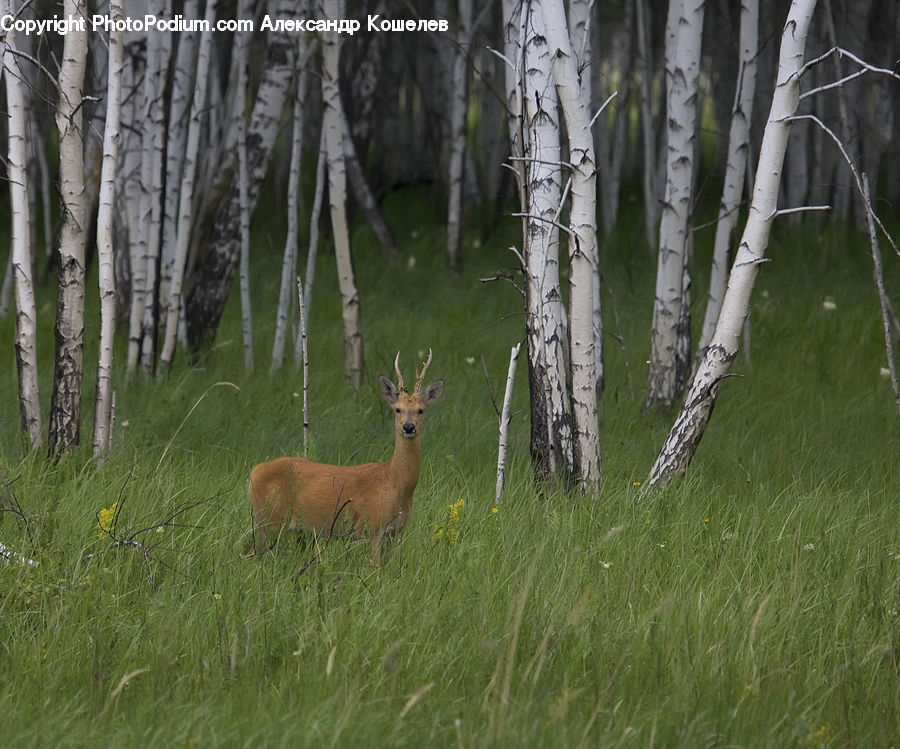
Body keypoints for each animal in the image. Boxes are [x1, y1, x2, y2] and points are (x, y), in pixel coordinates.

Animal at [246, 350, 442, 556]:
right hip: (267, 519)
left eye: (420, 410)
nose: (409, 427)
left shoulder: (394, 533)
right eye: (398, 409)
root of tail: (256, 470)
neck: (395, 484)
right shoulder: (372, 527)